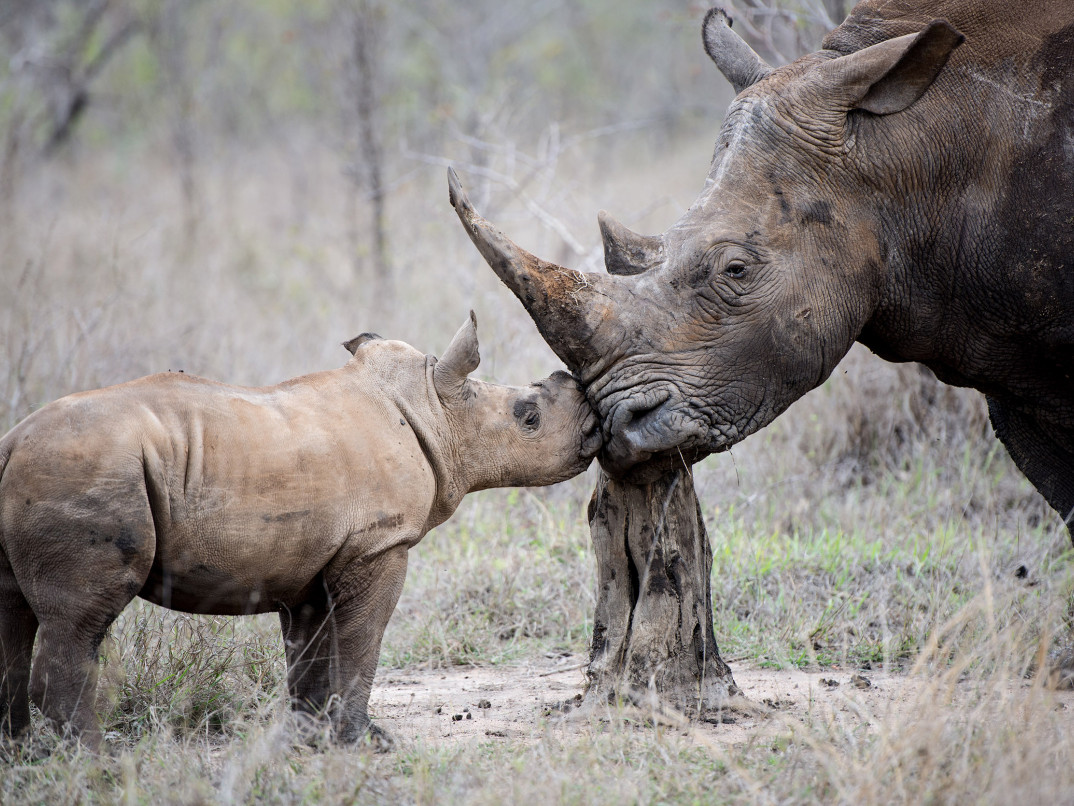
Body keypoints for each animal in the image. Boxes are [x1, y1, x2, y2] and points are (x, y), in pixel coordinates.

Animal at [0, 313, 600, 749]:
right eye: (529, 416)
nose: (593, 420)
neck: (435, 410)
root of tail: (12, 443)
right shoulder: (379, 545)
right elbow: (362, 641)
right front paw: (365, 741)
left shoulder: (309, 561)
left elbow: (310, 653)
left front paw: (307, 738)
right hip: (87, 470)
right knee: (81, 621)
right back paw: (91, 761)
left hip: (53, 471)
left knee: (16, 617)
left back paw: (24, 754)